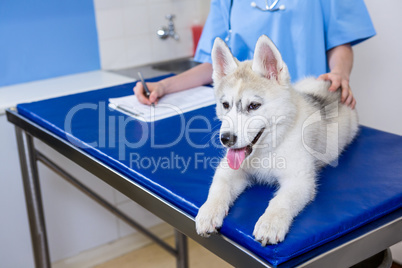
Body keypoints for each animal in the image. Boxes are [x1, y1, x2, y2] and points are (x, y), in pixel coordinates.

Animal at [196, 35, 358, 245]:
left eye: (254, 105)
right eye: (225, 105)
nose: (226, 139)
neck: (268, 149)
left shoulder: (299, 181)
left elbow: (280, 202)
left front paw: (270, 223)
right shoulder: (229, 170)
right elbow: (218, 188)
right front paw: (208, 211)